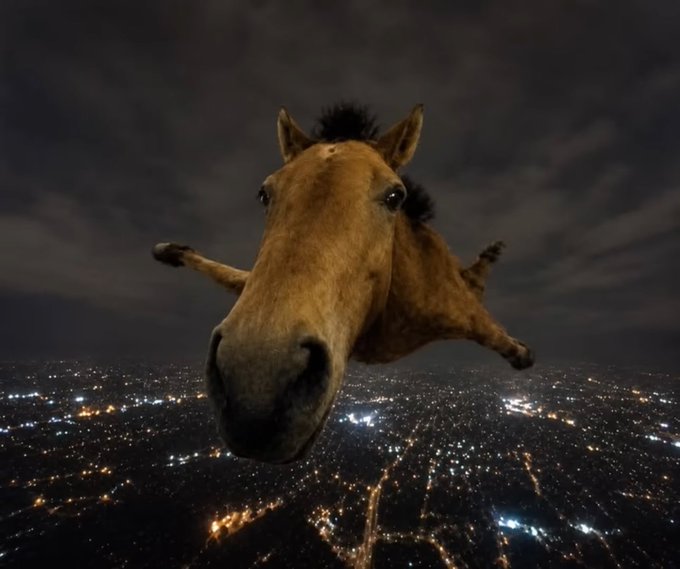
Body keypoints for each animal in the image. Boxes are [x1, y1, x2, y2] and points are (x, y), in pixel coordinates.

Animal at [152, 103, 534, 464]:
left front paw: (522, 353)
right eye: (264, 194)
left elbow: (495, 333)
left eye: (396, 196)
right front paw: (169, 250)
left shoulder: (456, 310)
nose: (255, 388)